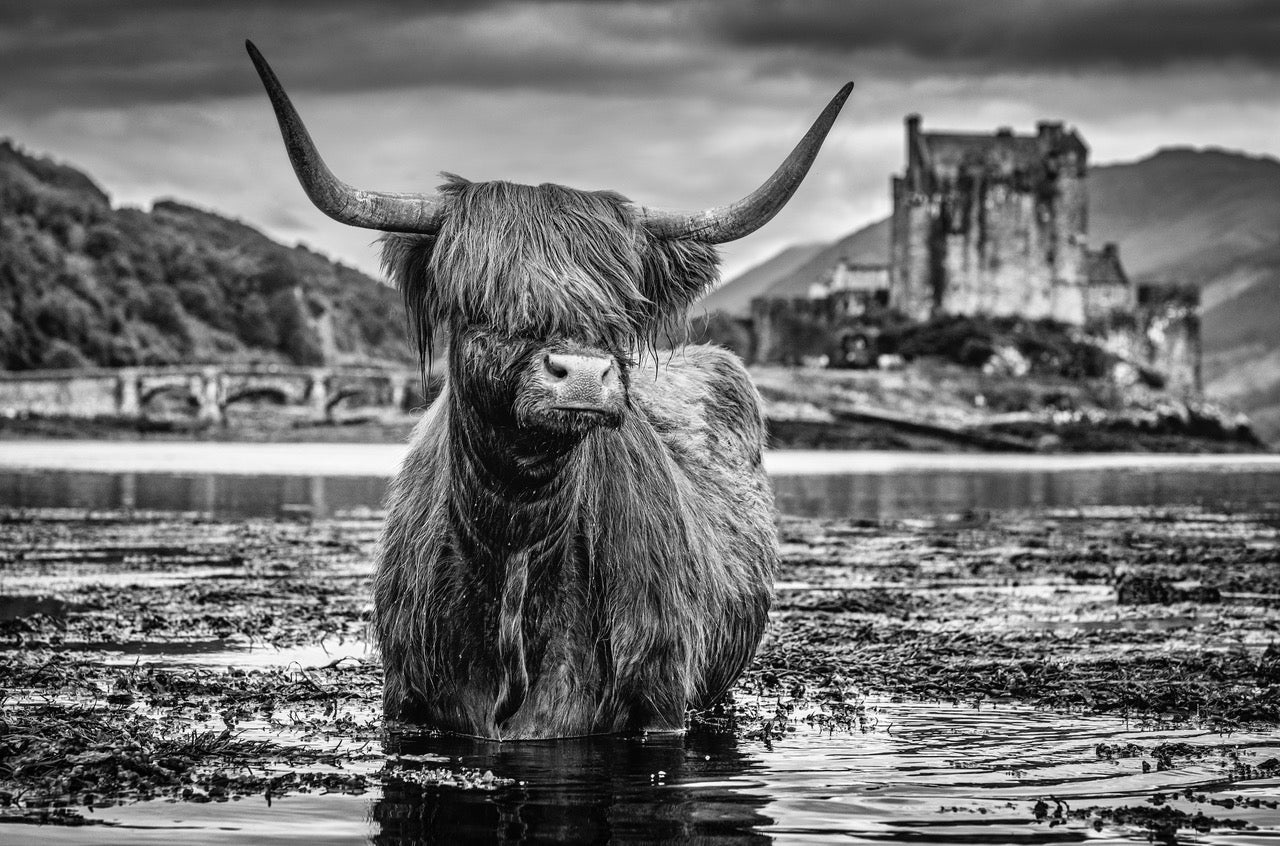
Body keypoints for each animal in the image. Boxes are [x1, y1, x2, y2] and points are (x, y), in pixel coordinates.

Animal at [248, 42, 849, 737]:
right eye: (482, 299)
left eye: (622, 306)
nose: (583, 375)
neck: (517, 536)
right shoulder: (404, 703)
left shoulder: (661, 703)